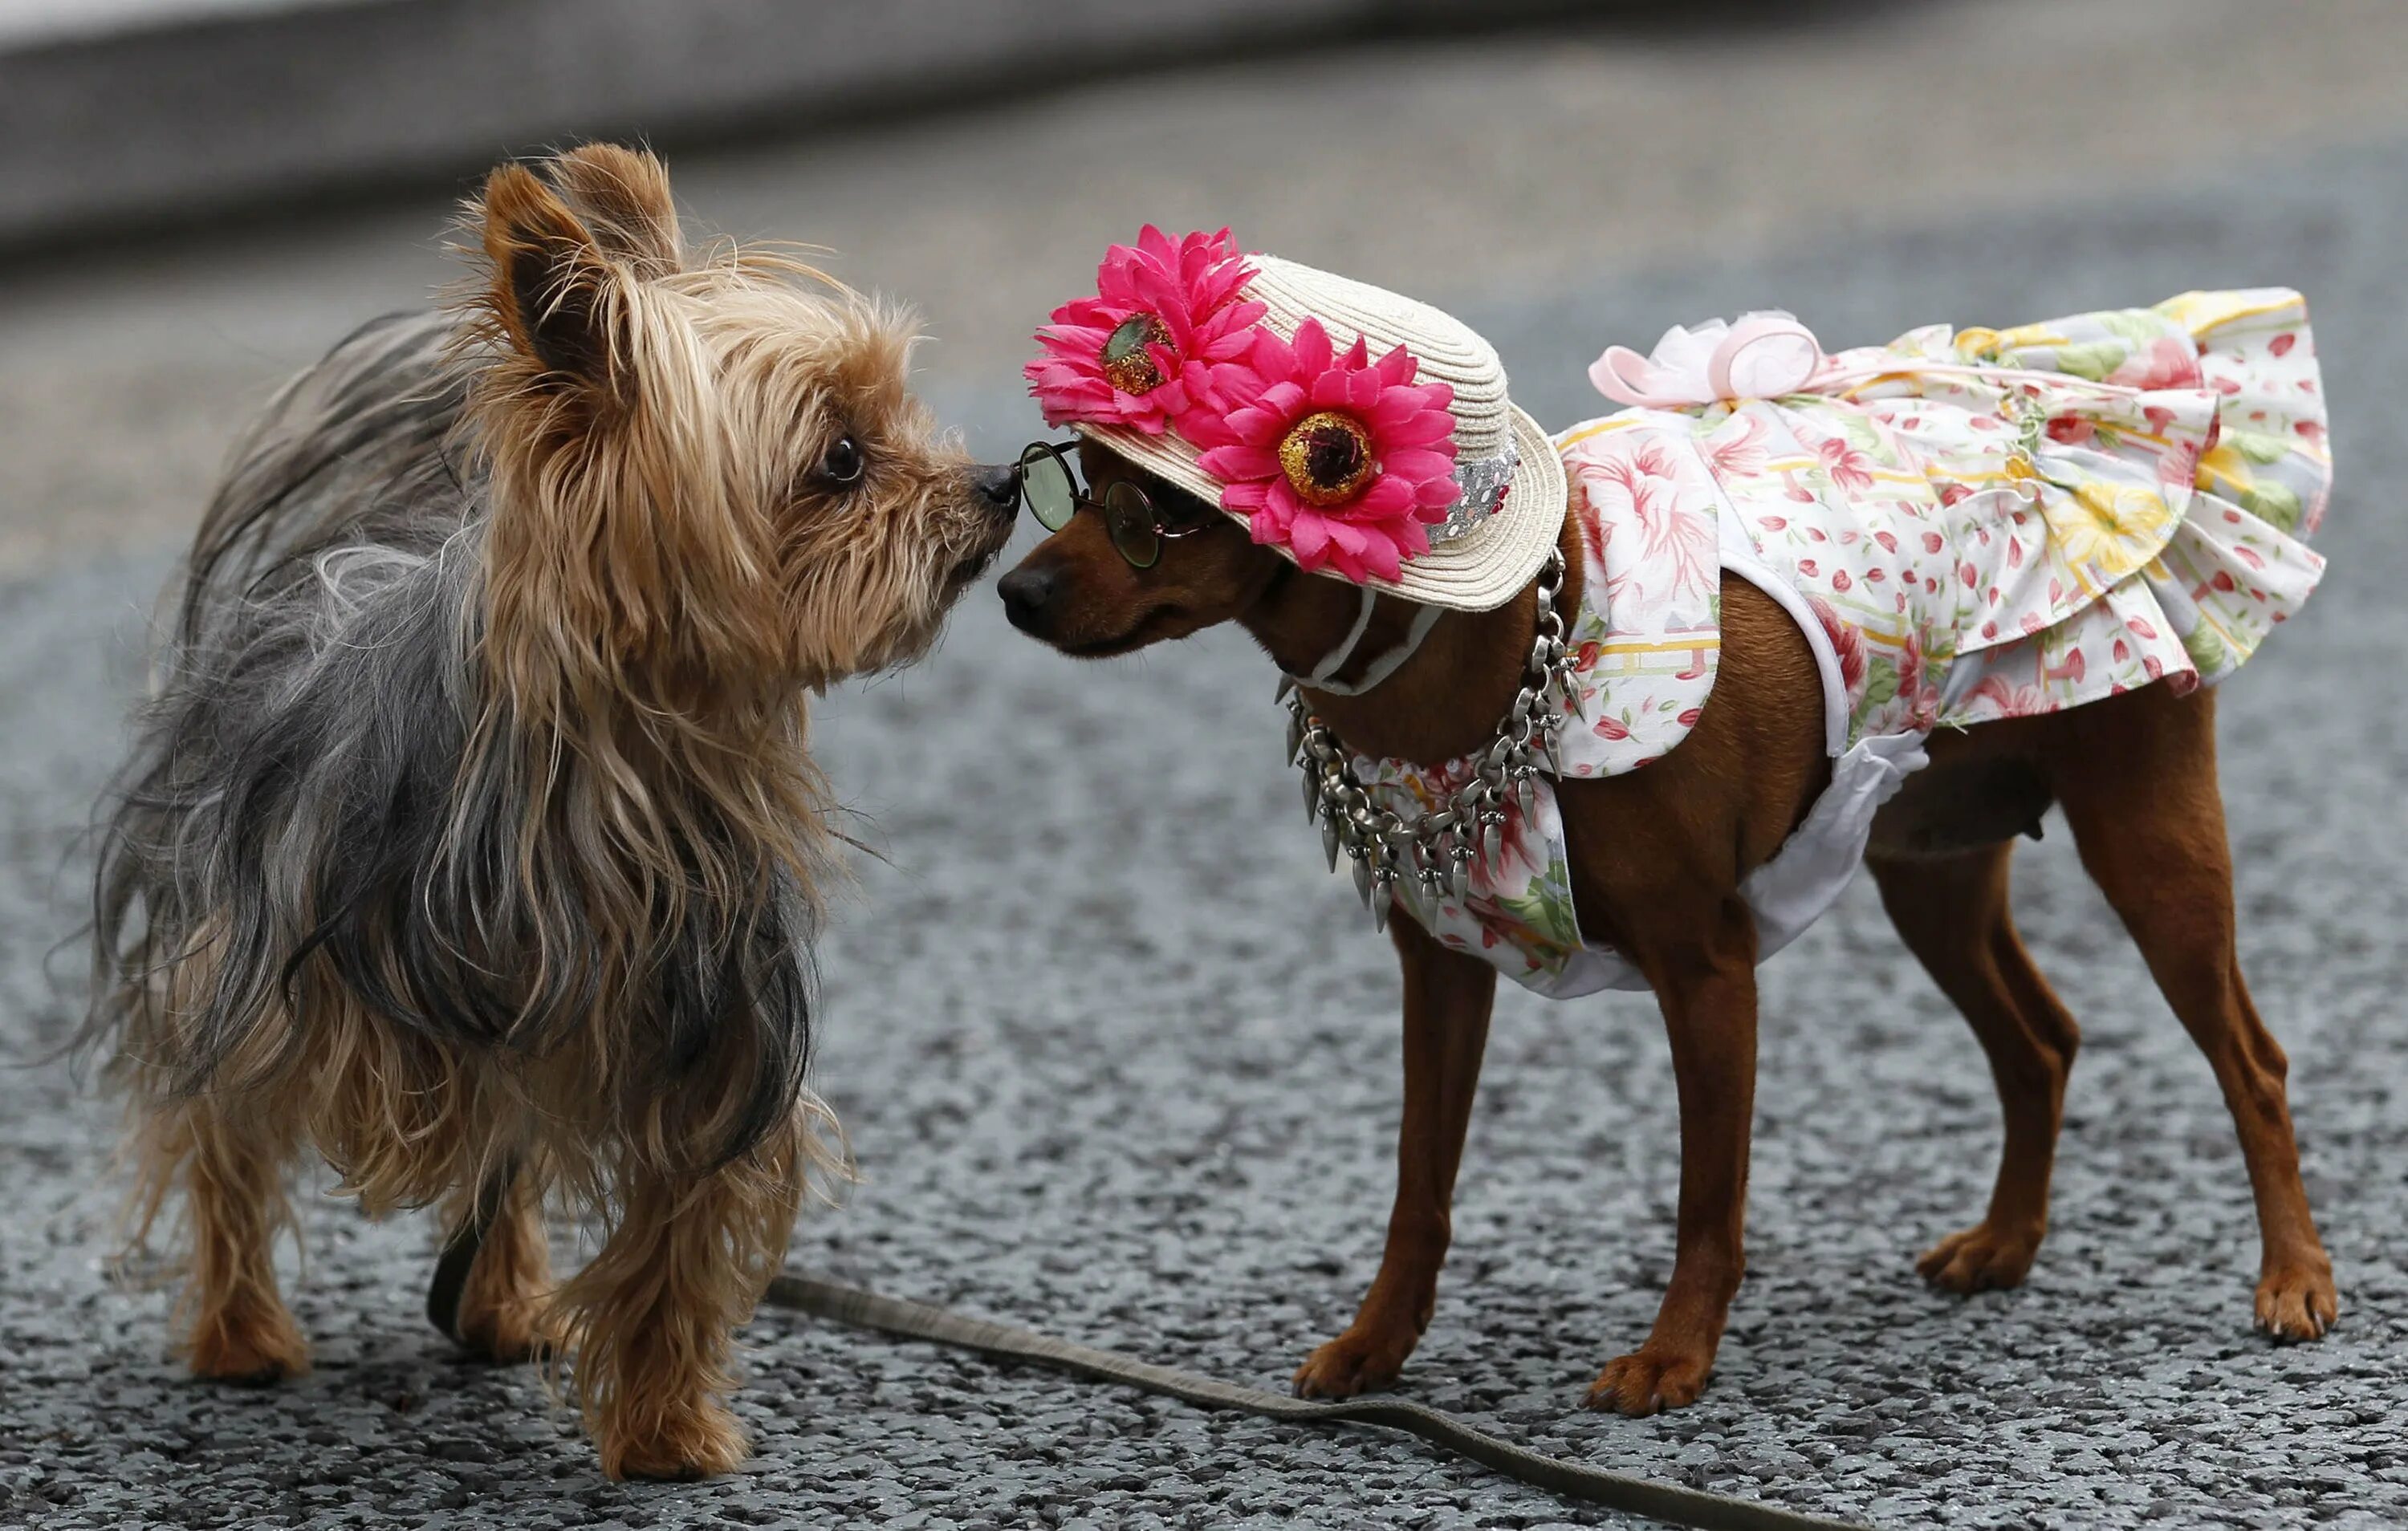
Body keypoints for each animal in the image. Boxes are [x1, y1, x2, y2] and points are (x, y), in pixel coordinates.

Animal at [84, 146, 1021, 1483]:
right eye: (841, 459)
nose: (1002, 483)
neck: (631, 768)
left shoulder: (710, 1052)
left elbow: (669, 1250)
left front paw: (667, 1428)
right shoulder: (321, 992)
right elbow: (232, 1131)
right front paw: (235, 1326)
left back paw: (500, 1299)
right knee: (234, 1123)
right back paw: (243, 1331)